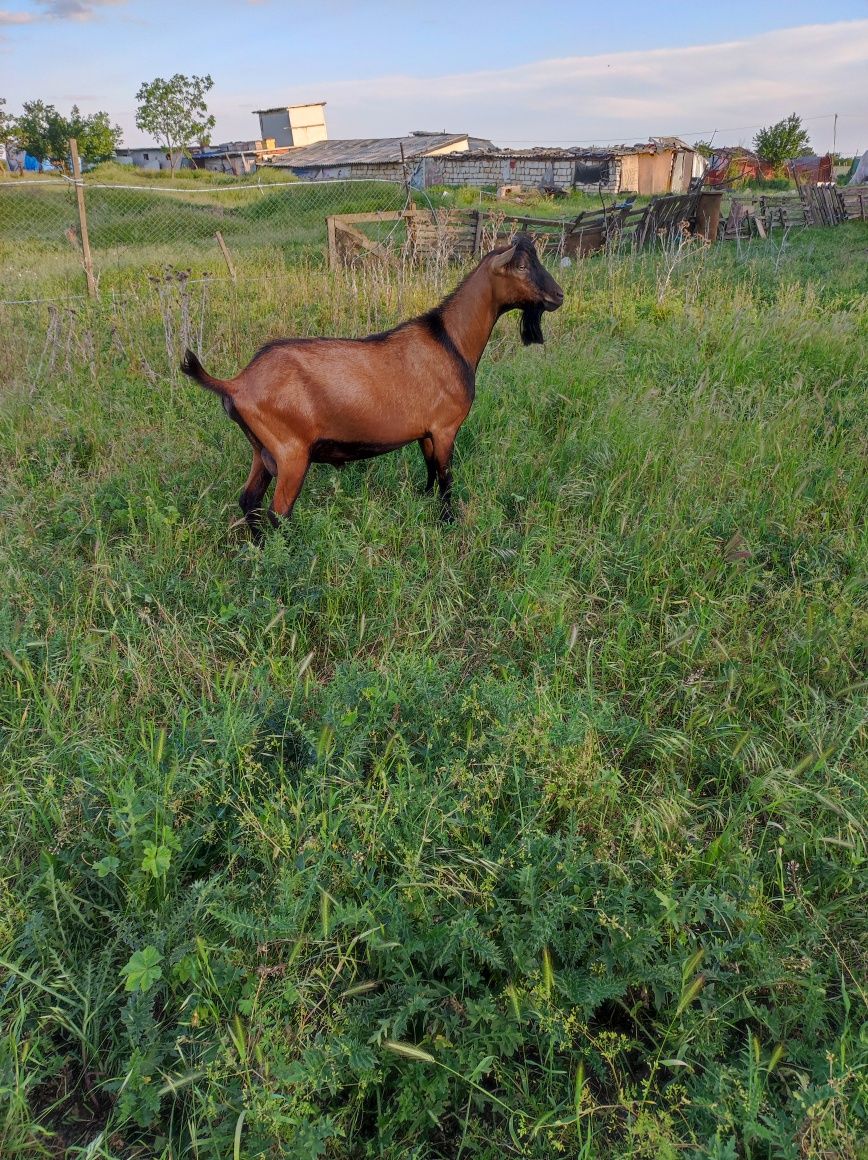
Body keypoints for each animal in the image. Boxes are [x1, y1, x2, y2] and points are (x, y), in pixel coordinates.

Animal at [181, 229, 563, 533]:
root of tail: (236, 383)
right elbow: (445, 480)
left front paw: (421, 503)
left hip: (261, 451)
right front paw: (448, 522)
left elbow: (429, 473)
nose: (558, 296)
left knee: (249, 502)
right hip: (291, 452)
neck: (450, 340)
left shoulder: (425, 431)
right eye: (523, 266)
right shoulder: (445, 427)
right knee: (278, 514)